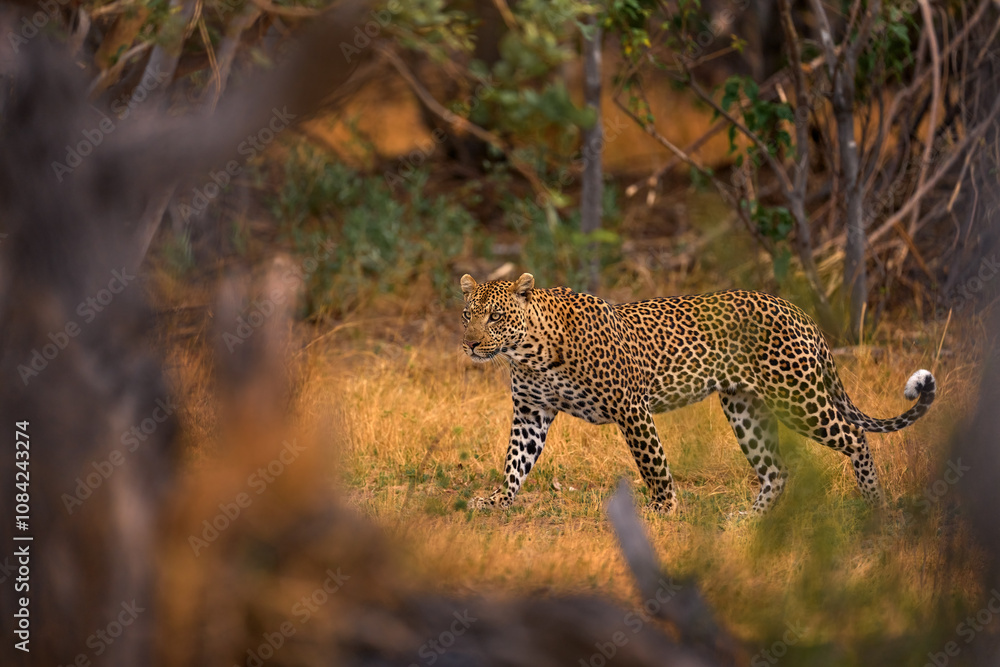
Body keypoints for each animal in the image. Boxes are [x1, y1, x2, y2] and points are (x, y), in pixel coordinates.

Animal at [459, 272, 936, 514]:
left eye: (496, 316)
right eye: (468, 314)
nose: (470, 344)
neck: (528, 352)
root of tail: (797, 310)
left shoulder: (631, 407)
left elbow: (653, 463)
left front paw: (664, 511)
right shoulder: (531, 411)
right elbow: (515, 462)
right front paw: (496, 501)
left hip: (797, 398)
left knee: (855, 437)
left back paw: (876, 504)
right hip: (745, 408)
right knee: (776, 470)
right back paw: (750, 521)